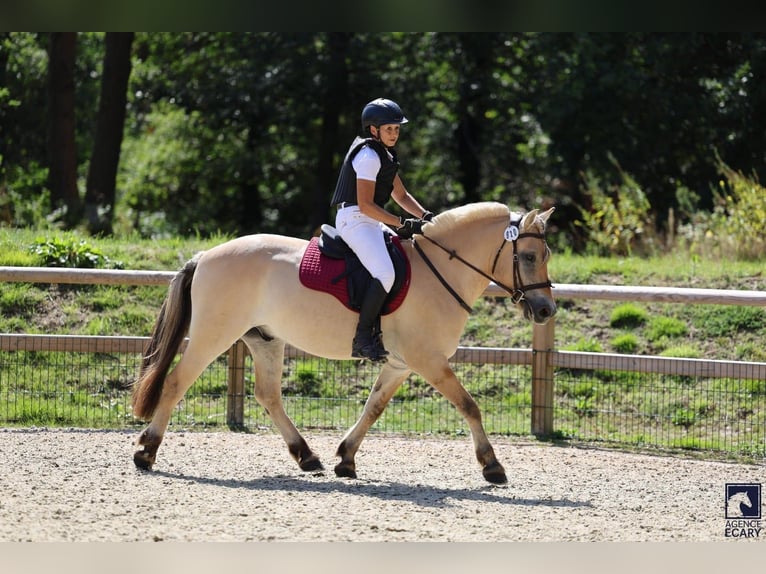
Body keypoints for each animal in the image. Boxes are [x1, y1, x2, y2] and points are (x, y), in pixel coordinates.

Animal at [131, 202, 556, 484]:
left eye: (545, 254)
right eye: (529, 256)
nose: (546, 309)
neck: (440, 270)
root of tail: (205, 256)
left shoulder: (400, 363)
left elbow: (374, 407)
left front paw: (346, 458)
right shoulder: (428, 360)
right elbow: (469, 405)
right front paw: (492, 465)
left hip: (265, 340)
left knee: (268, 395)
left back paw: (307, 457)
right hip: (213, 335)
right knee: (176, 383)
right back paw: (146, 451)